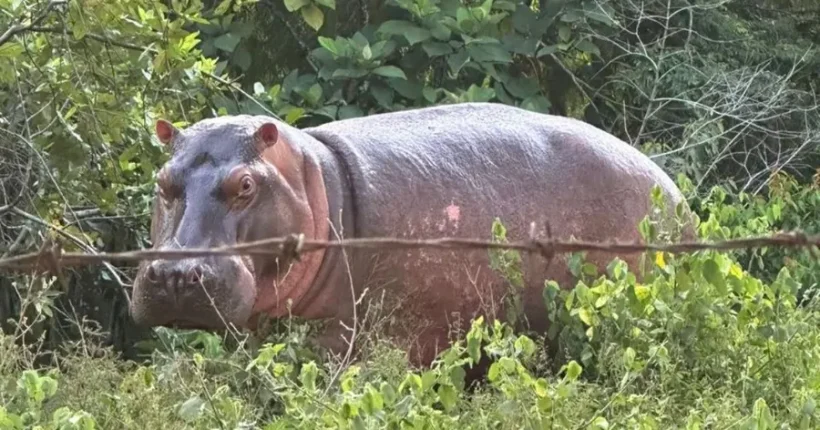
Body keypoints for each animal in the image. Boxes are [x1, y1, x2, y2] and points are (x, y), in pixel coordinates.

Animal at [130, 102, 691, 367]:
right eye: (162, 180)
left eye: (245, 184)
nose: (175, 275)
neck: (314, 177)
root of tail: (675, 193)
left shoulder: (347, 341)